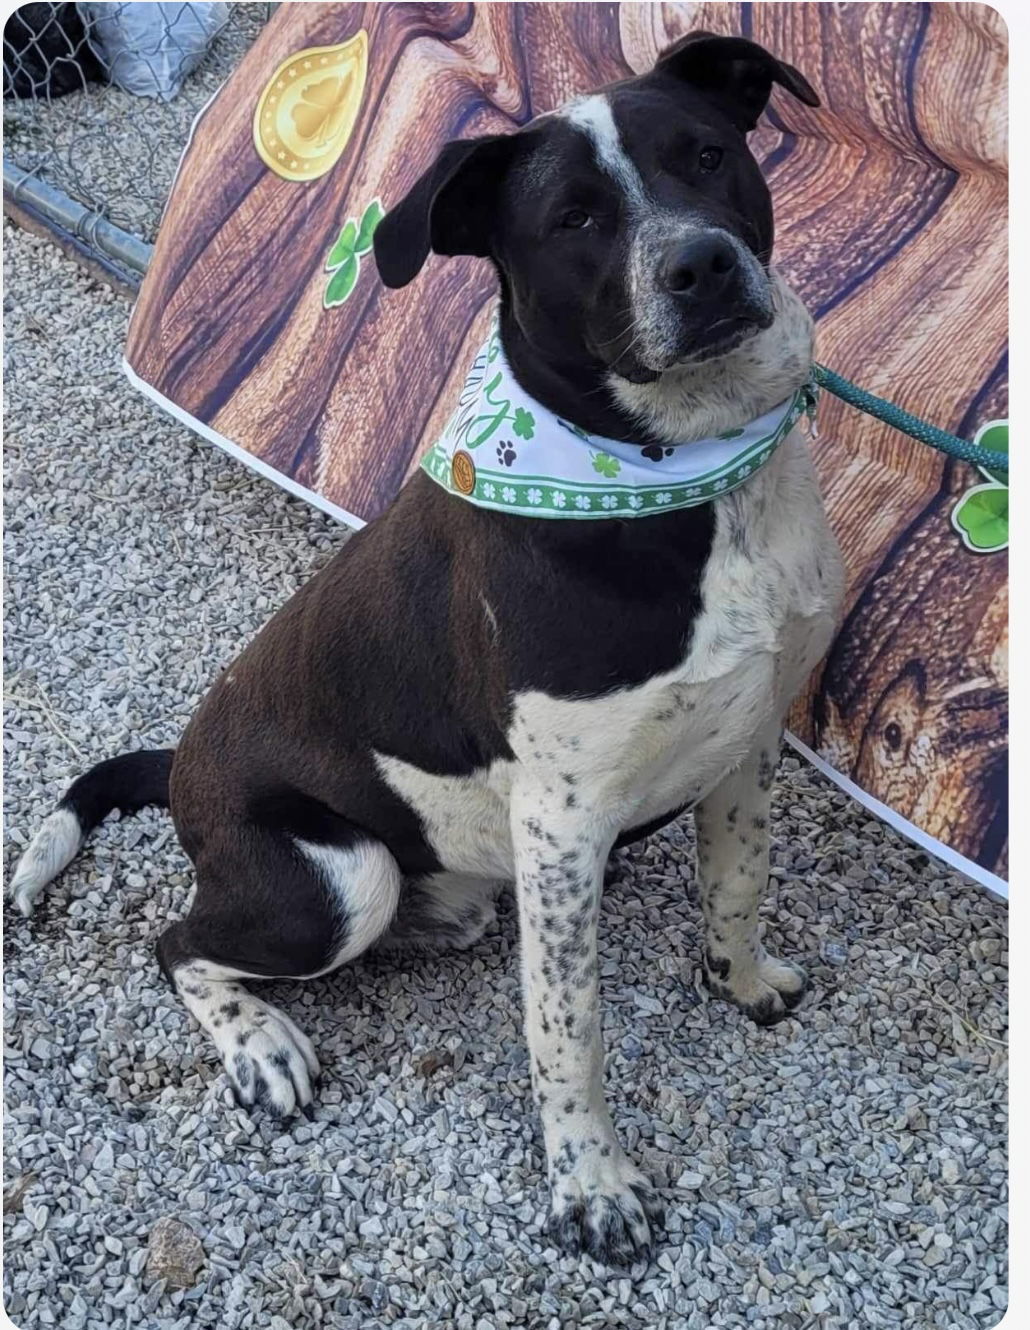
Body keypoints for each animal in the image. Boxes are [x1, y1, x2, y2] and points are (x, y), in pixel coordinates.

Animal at [8, 28, 846, 1255]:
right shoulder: (561, 824)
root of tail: (183, 769)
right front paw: (591, 1185)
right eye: (573, 219)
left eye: (705, 154)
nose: (700, 266)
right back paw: (261, 1044)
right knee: (176, 943)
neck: (687, 477)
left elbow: (735, 882)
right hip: (338, 879)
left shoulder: (748, 744)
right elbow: (567, 1028)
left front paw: (740, 981)